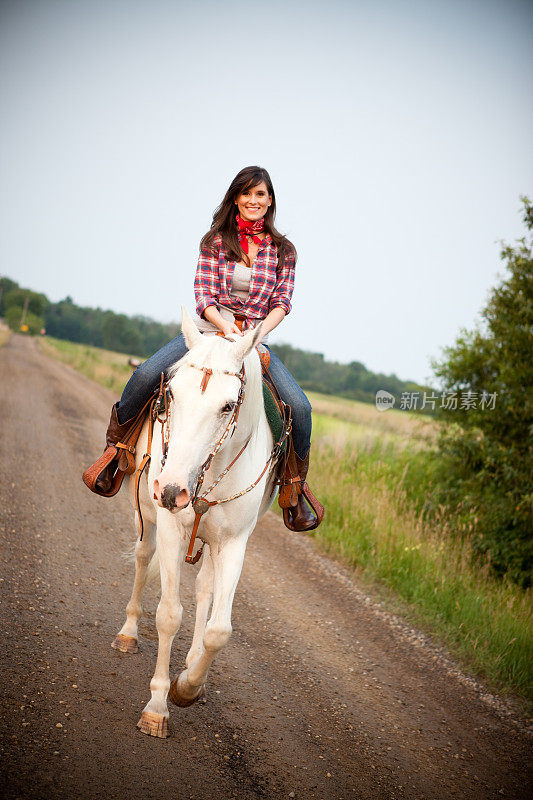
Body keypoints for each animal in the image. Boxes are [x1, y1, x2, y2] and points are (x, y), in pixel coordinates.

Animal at [110, 306, 280, 736]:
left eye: (228, 406)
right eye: (170, 394)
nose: (172, 491)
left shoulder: (234, 543)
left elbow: (220, 631)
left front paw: (188, 687)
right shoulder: (172, 528)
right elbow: (169, 615)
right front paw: (157, 707)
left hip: (210, 541)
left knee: (205, 588)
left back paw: (189, 661)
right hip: (147, 516)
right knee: (142, 557)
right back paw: (128, 634)